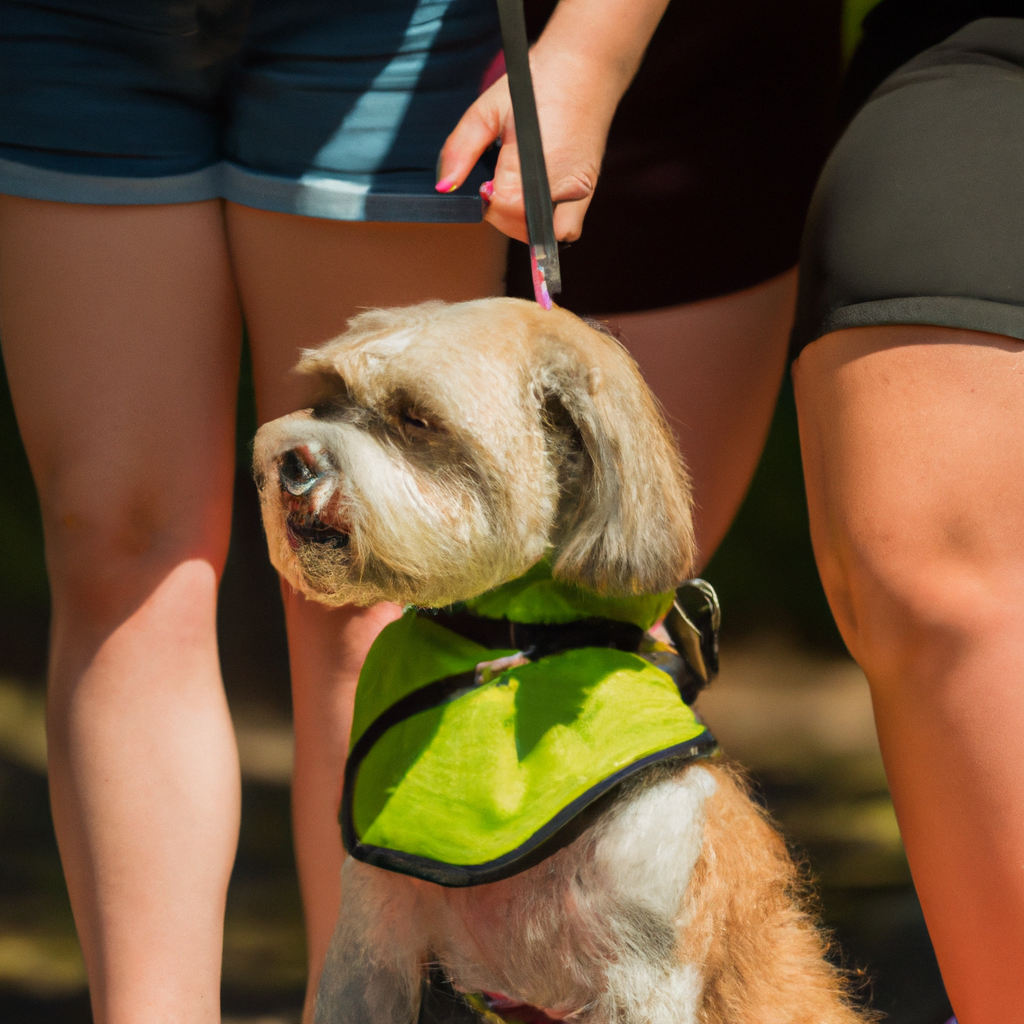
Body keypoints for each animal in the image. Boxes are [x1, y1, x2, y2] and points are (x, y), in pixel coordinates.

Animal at [251, 299, 868, 1024]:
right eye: (331, 394)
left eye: (417, 418)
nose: (289, 460)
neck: (517, 645)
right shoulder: (371, 951)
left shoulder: (644, 971)